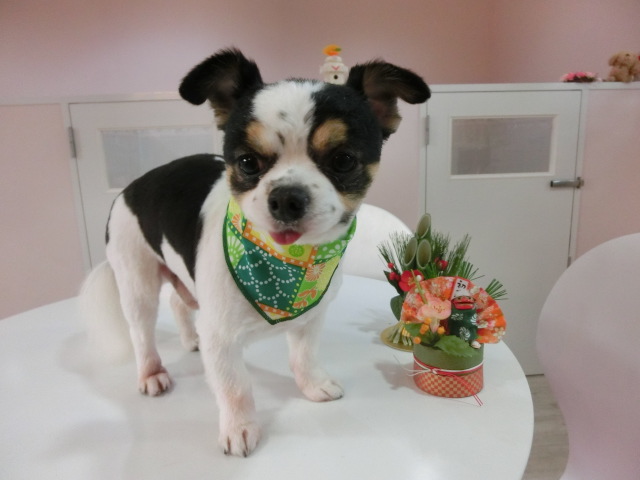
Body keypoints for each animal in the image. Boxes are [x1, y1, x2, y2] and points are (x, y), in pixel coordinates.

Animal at [80, 48, 429, 457]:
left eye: (343, 160)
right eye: (248, 162)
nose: (287, 197)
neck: (289, 265)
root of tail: (128, 188)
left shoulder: (310, 318)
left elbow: (304, 357)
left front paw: (313, 385)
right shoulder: (221, 336)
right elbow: (234, 387)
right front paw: (239, 428)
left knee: (180, 302)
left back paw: (190, 339)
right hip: (137, 283)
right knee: (142, 333)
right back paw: (152, 373)